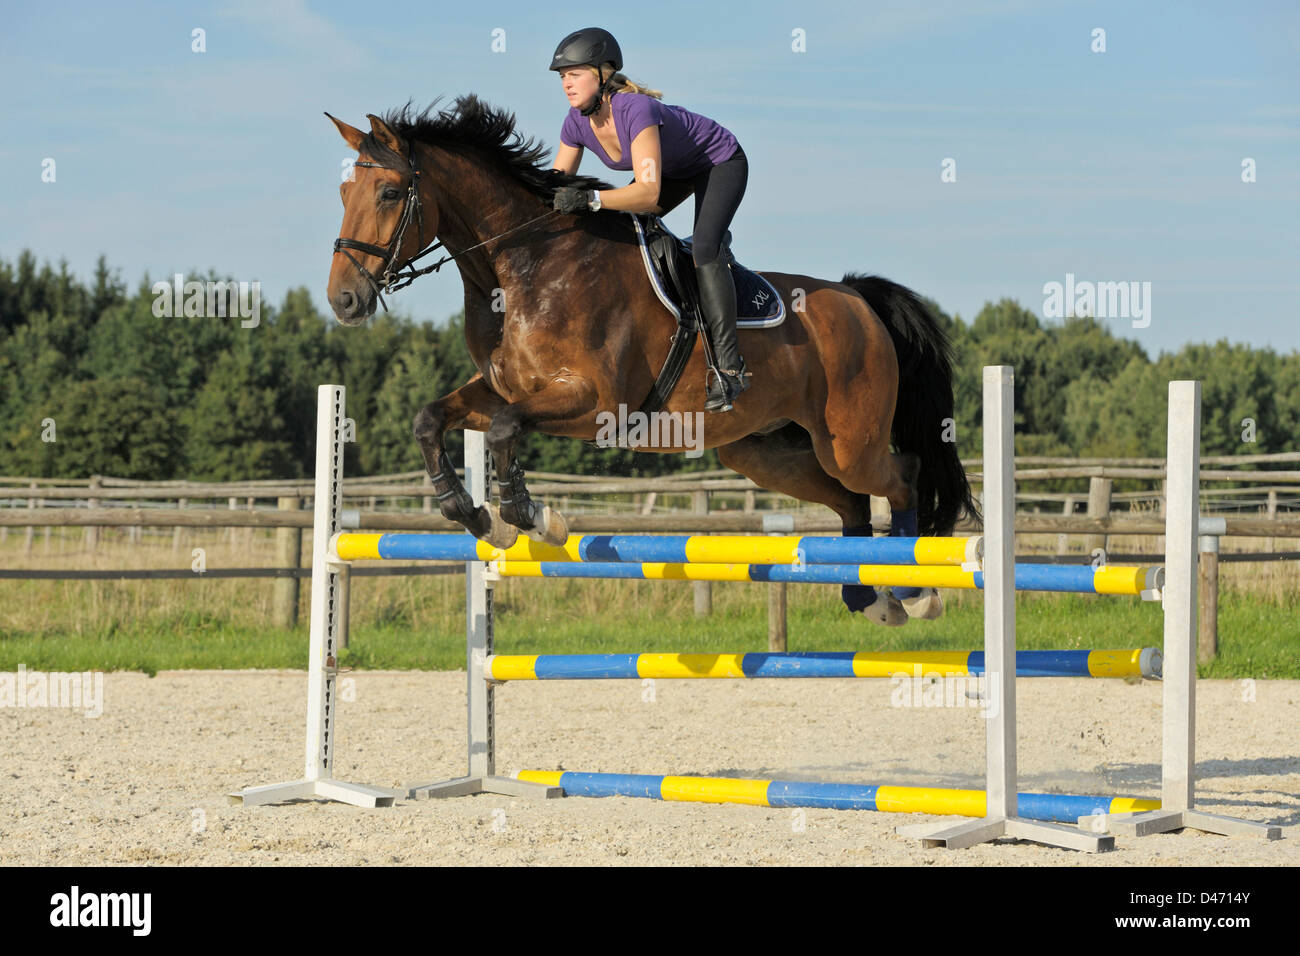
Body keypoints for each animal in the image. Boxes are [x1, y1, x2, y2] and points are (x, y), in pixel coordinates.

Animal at [325, 95, 978, 626]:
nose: (343, 300)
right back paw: (868, 598)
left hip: (848, 441)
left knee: (901, 476)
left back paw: (915, 591)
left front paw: (530, 515)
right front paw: (473, 513)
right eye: (342, 193)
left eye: (389, 193)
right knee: (850, 501)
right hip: (765, 451)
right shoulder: (503, 389)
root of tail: (856, 298)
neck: (525, 268)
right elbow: (431, 418)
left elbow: (509, 430)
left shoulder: (594, 403)